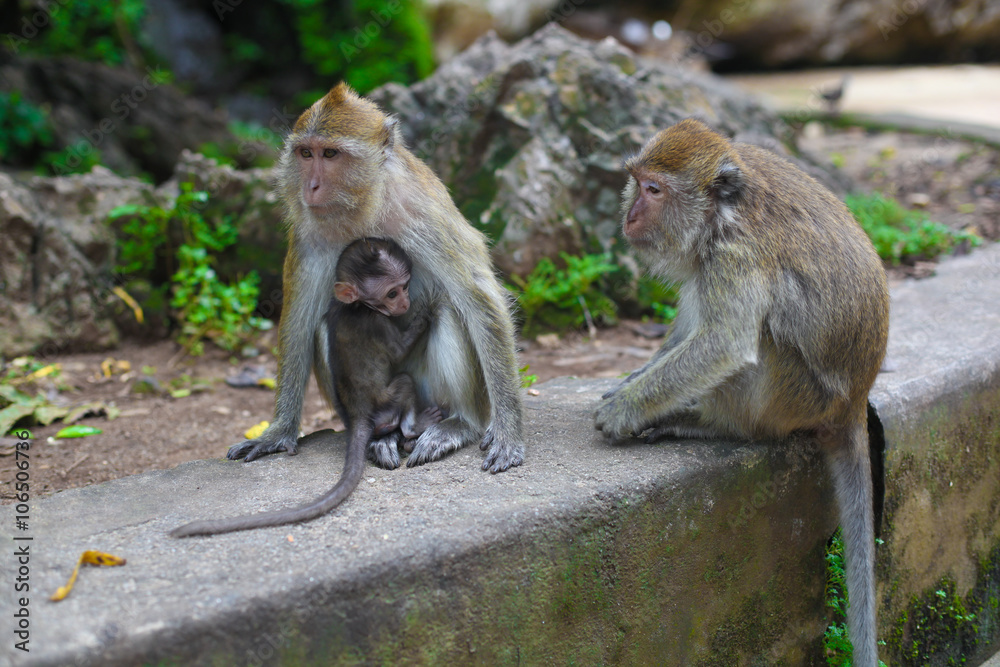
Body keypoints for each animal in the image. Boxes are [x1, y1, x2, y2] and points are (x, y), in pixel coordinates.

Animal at [172, 238, 441, 537]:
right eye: (393, 293)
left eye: (405, 286)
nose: (406, 301)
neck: (357, 306)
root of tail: (360, 414)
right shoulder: (378, 322)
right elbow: (399, 350)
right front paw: (427, 310)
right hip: (388, 401)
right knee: (405, 382)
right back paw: (415, 427)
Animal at [223, 83, 524, 474]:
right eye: (305, 153)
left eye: (330, 154)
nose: (311, 186)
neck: (367, 202)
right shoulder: (308, 233)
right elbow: (300, 319)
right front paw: (277, 431)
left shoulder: (425, 215)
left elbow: (479, 298)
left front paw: (508, 431)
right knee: (327, 324)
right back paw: (385, 434)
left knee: (448, 309)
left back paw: (458, 424)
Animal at [595, 119, 888, 666]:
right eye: (636, 182)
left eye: (654, 190)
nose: (630, 214)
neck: (720, 215)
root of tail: (855, 400)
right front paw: (631, 382)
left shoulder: (736, 255)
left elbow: (726, 341)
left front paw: (626, 409)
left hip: (794, 395)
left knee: (762, 342)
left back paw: (704, 422)